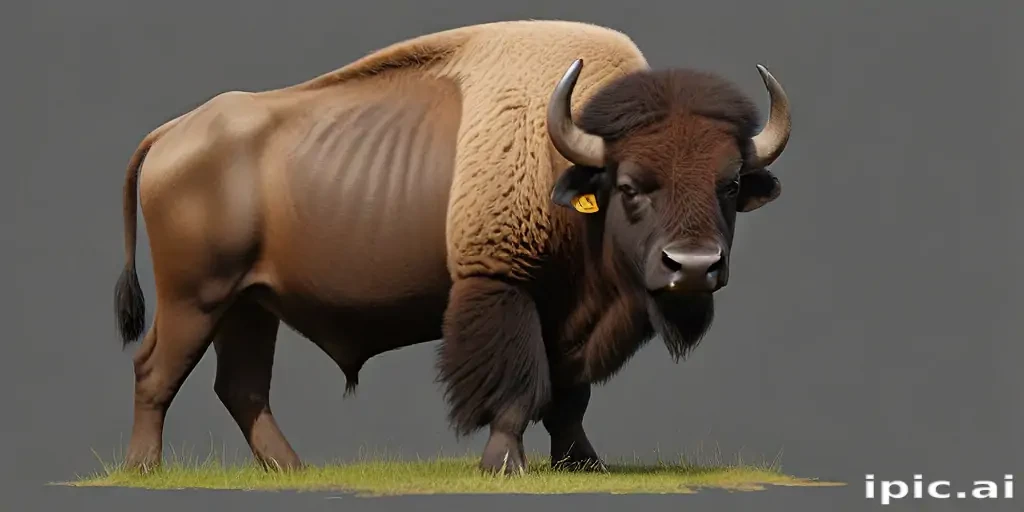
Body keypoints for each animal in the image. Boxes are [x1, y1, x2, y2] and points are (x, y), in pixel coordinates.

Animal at [113, 20, 792, 475]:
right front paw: (503, 464)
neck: (565, 162)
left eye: (730, 184)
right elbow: (521, 387)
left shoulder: (572, 317)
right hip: (196, 300)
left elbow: (570, 396)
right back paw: (145, 469)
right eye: (629, 186)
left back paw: (293, 470)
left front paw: (584, 465)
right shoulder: (502, 287)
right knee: (155, 371)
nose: (693, 267)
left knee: (242, 386)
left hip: (249, 306)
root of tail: (174, 133)